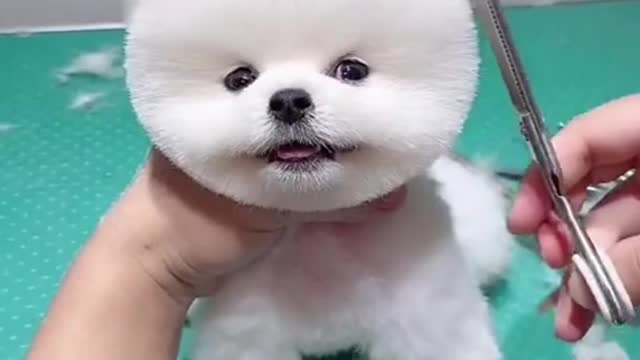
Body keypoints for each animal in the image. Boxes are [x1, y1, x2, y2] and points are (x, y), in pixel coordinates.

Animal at [125, 1, 516, 358]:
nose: (288, 101)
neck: (317, 234)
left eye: (352, 70)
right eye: (240, 79)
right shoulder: (249, 328)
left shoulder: (424, 313)